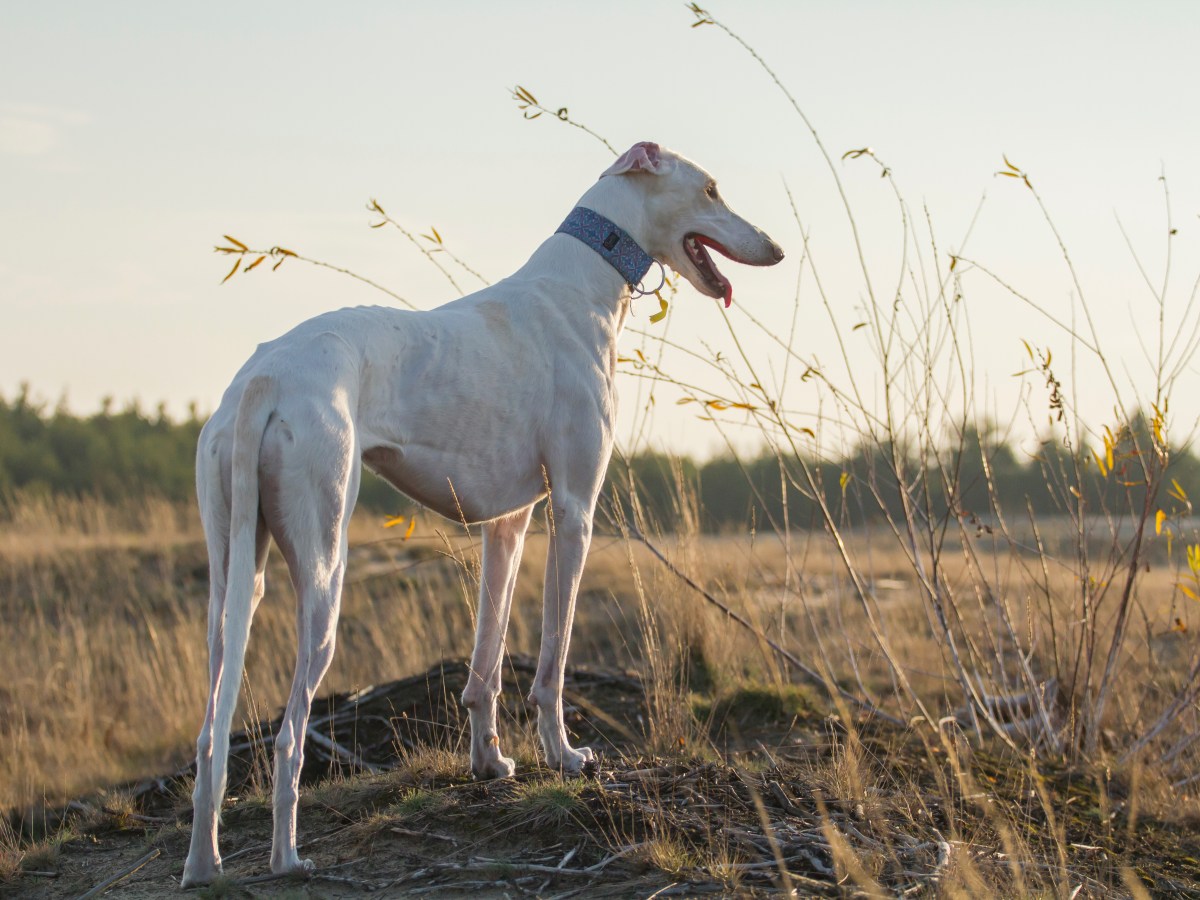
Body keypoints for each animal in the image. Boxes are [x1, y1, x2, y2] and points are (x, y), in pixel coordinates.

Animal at [182, 142, 782, 888]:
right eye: (711, 190)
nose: (778, 249)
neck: (581, 283)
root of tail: (264, 376)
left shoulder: (509, 522)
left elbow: (486, 663)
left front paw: (489, 762)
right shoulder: (575, 511)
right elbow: (552, 661)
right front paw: (564, 756)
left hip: (232, 576)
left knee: (209, 733)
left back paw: (203, 865)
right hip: (324, 571)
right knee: (290, 734)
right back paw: (287, 856)